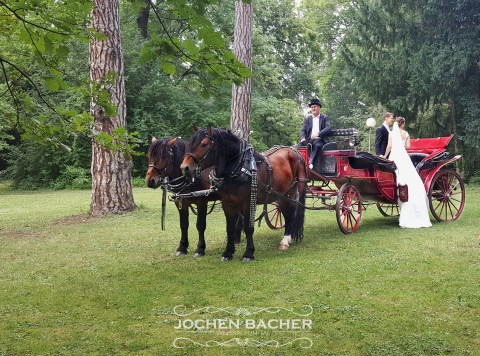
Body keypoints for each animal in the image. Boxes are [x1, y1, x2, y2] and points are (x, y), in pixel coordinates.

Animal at [180, 128, 308, 262]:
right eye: (190, 144)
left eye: (204, 144)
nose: (185, 168)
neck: (239, 167)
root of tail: (293, 151)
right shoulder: (227, 203)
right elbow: (229, 228)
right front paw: (228, 253)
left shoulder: (248, 203)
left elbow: (248, 228)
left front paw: (248, 253)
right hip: (280, 196)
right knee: (286, 213)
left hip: (292, 192)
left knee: (292, 212)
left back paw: (285, 240)